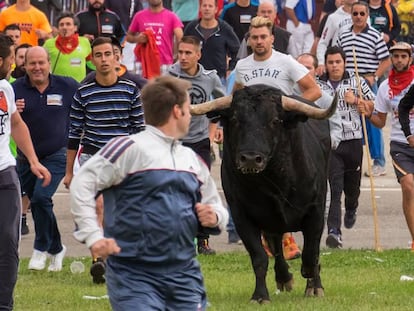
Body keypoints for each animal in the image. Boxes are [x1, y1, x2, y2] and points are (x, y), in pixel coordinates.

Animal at [192, 84, 338, 304]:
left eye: (275, 120)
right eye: (235, 119)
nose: (251, 158)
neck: (276, 182)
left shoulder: (316, 212)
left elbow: (311, 253)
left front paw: (313, 284)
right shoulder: (242, 217)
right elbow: (259, 257)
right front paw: (260, 296)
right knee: (275, 245)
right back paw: (284, 278)